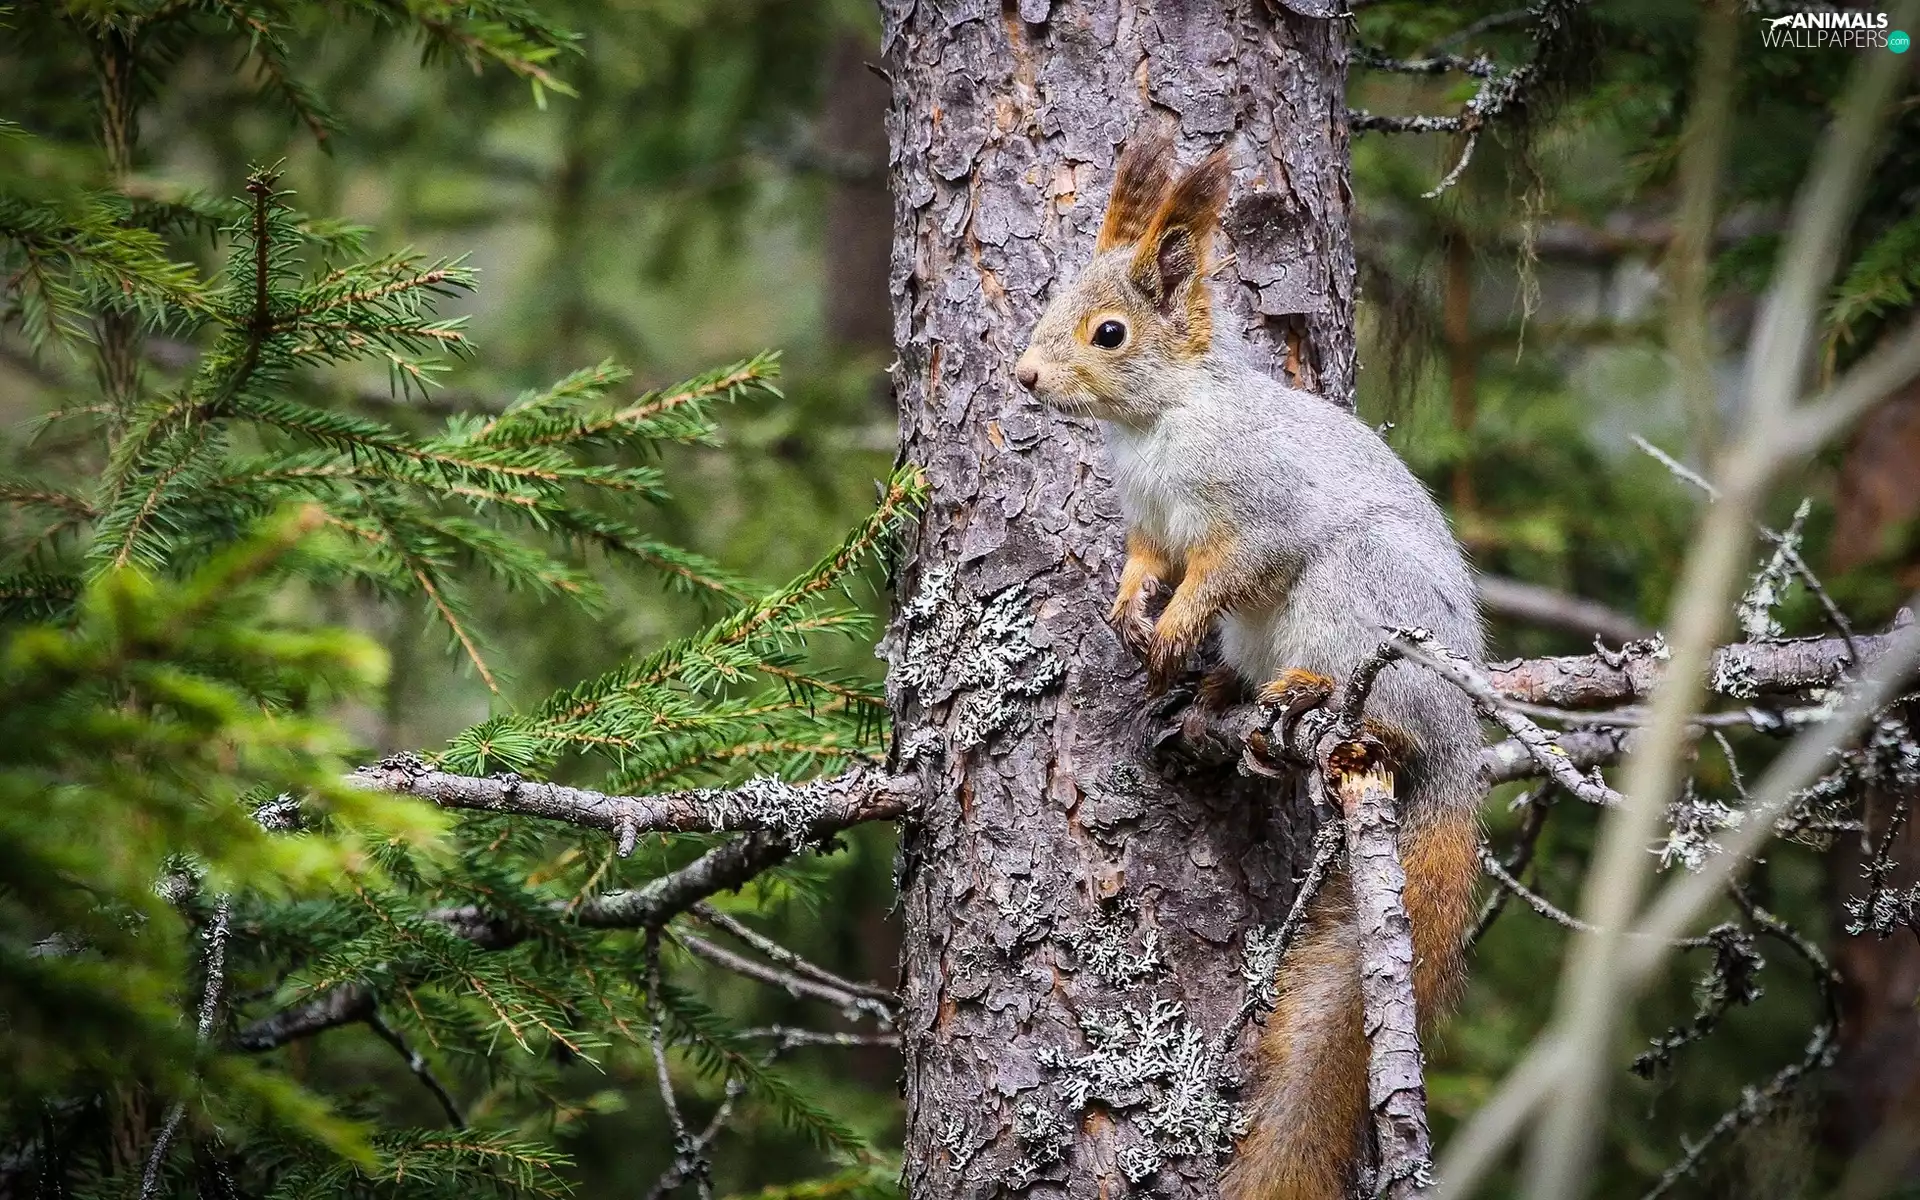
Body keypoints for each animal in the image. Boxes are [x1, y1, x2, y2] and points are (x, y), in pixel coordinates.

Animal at [1013, 130, 1486, 1200]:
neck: (1159, 423)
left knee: (1377, 711)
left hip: (1358, 602)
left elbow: (1221, 572)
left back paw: (1314, 699)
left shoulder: (1256, 517)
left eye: (1108, 333)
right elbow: (1148, 565)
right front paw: (1129, 614)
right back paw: (1217, 703)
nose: (1023, 377)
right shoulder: (1150, 525)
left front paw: (1172, 625)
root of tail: (1461, 749)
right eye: (1051, 299)